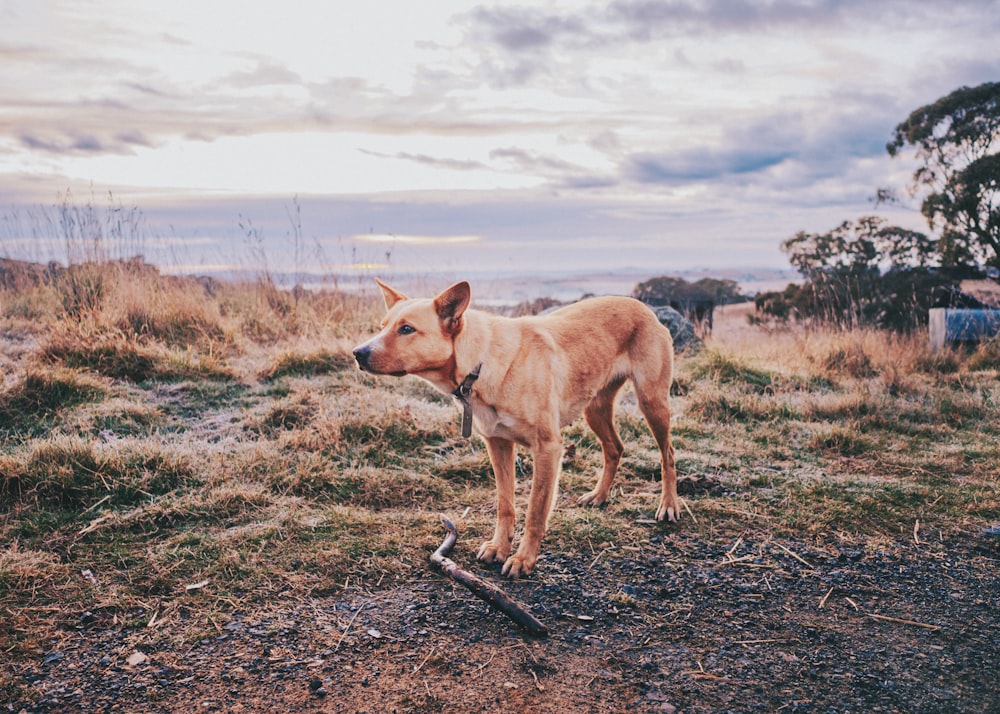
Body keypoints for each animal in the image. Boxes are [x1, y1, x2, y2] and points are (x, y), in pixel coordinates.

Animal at [352, 280, 680, 576]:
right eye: (383, 326)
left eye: (407, 329)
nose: (358, 352)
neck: (480, 363)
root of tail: (642, 307)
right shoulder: (498, 444)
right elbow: (505, 504)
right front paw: (499, 547)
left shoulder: (548, 449)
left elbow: (535, 511)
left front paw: (524, 560)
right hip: (595, 409)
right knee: (615, 448)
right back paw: (599, 495)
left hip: (651, 402)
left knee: (668, 453)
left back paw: (668, 505)